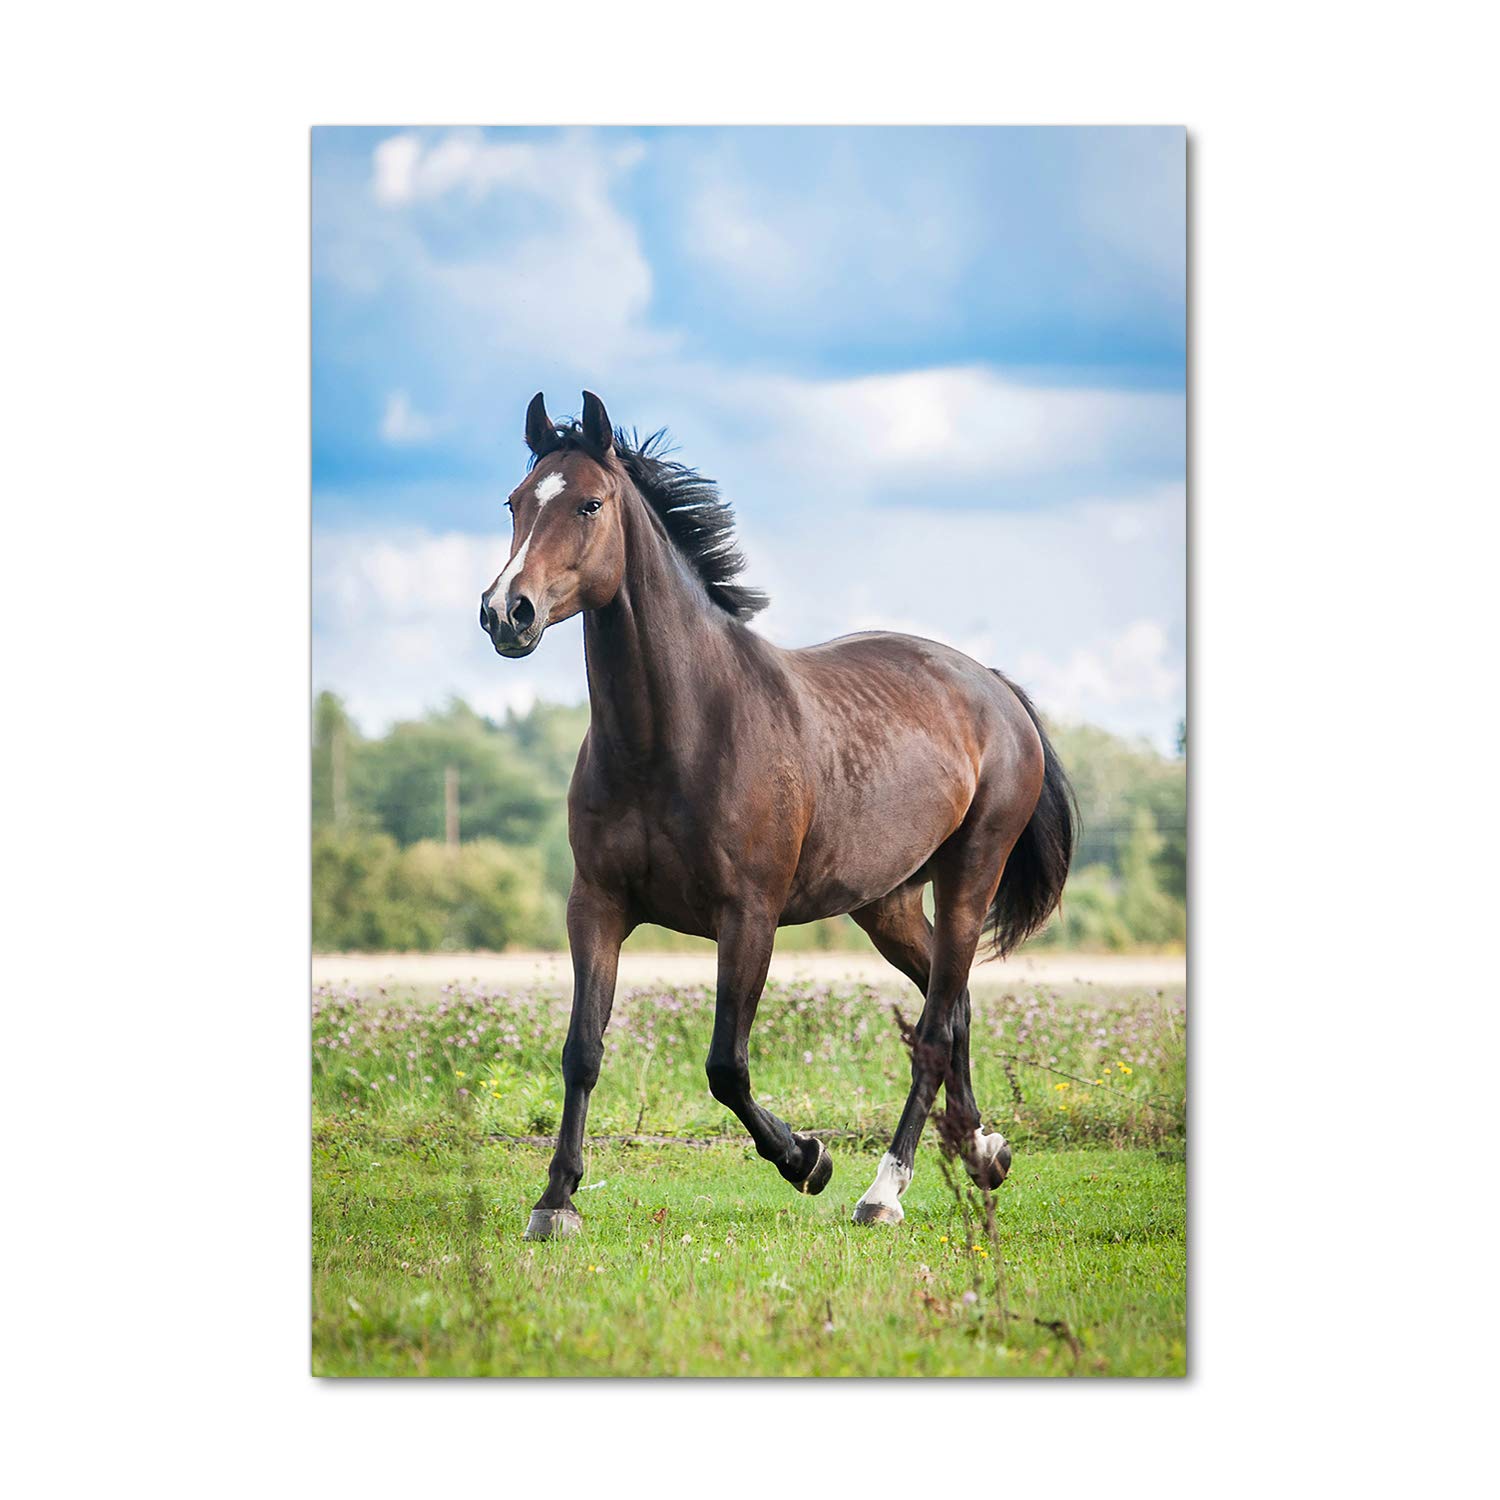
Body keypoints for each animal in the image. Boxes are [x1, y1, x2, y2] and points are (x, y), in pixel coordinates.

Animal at [481, 391, 1075, 1239]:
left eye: (590, 503)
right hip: (887, 905)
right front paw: (555, 1200)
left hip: (970, 875)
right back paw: (983, 1150)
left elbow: (725, 1066)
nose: (507, 612)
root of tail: (994, 688)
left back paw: (883, 1190)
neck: (674, 735)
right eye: (516, 502)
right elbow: (581, 1050)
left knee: (933, 1030)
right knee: (952, 1003)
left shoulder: (748, 916)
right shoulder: (595, 906)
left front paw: (808, 1159)